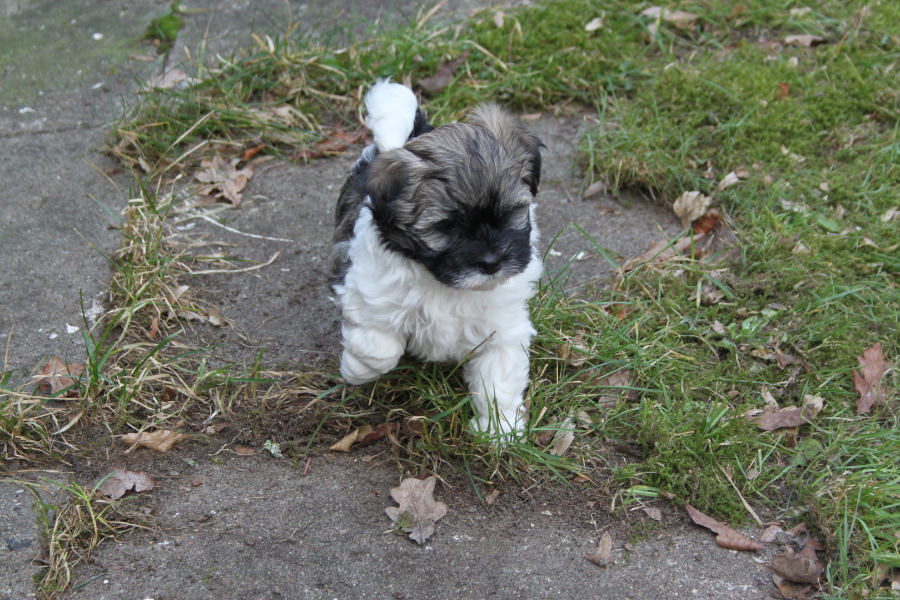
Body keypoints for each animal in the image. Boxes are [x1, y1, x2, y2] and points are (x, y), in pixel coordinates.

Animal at [330, 80, 543, 439]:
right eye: (446, 226)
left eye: (508, 213)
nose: (491, 262)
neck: (443, 283)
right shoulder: (368, 291)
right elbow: (379, 347)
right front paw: (357, 370)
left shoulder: (502, 327)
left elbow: (499, 378)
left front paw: (498, 430)